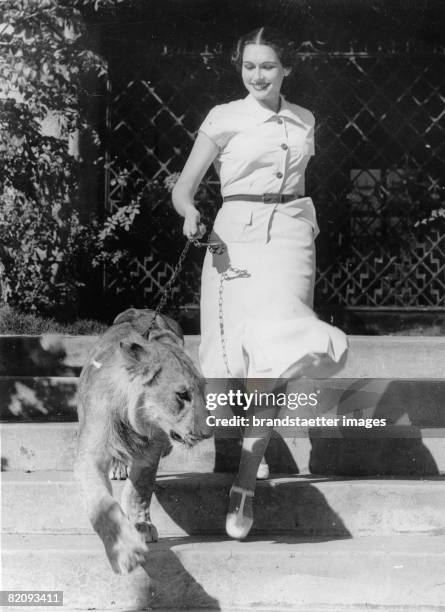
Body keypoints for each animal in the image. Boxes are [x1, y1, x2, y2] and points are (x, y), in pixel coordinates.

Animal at [74, 310, 210, 572]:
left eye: (203, 391)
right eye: (182, 395)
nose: (209, 433)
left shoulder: (150, 451)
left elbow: (140, 490)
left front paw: (141, 526)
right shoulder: (89, 454)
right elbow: (102, 503)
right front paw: (124, 549)